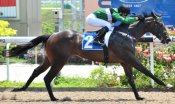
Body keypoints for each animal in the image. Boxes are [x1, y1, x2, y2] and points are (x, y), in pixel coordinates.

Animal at [8, 12, 172, 101]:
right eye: (161, 25)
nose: (168, 39)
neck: (127, 34)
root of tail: (52, 35)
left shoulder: (125, 61)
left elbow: (131, 80)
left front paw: (138, 97)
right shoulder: (130, 59)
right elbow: (147, 72)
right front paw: (167, 85)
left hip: (50, 60)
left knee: (36, 72)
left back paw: (21, 89)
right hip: (59, 61)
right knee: (47, 78)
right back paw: (54, 98)